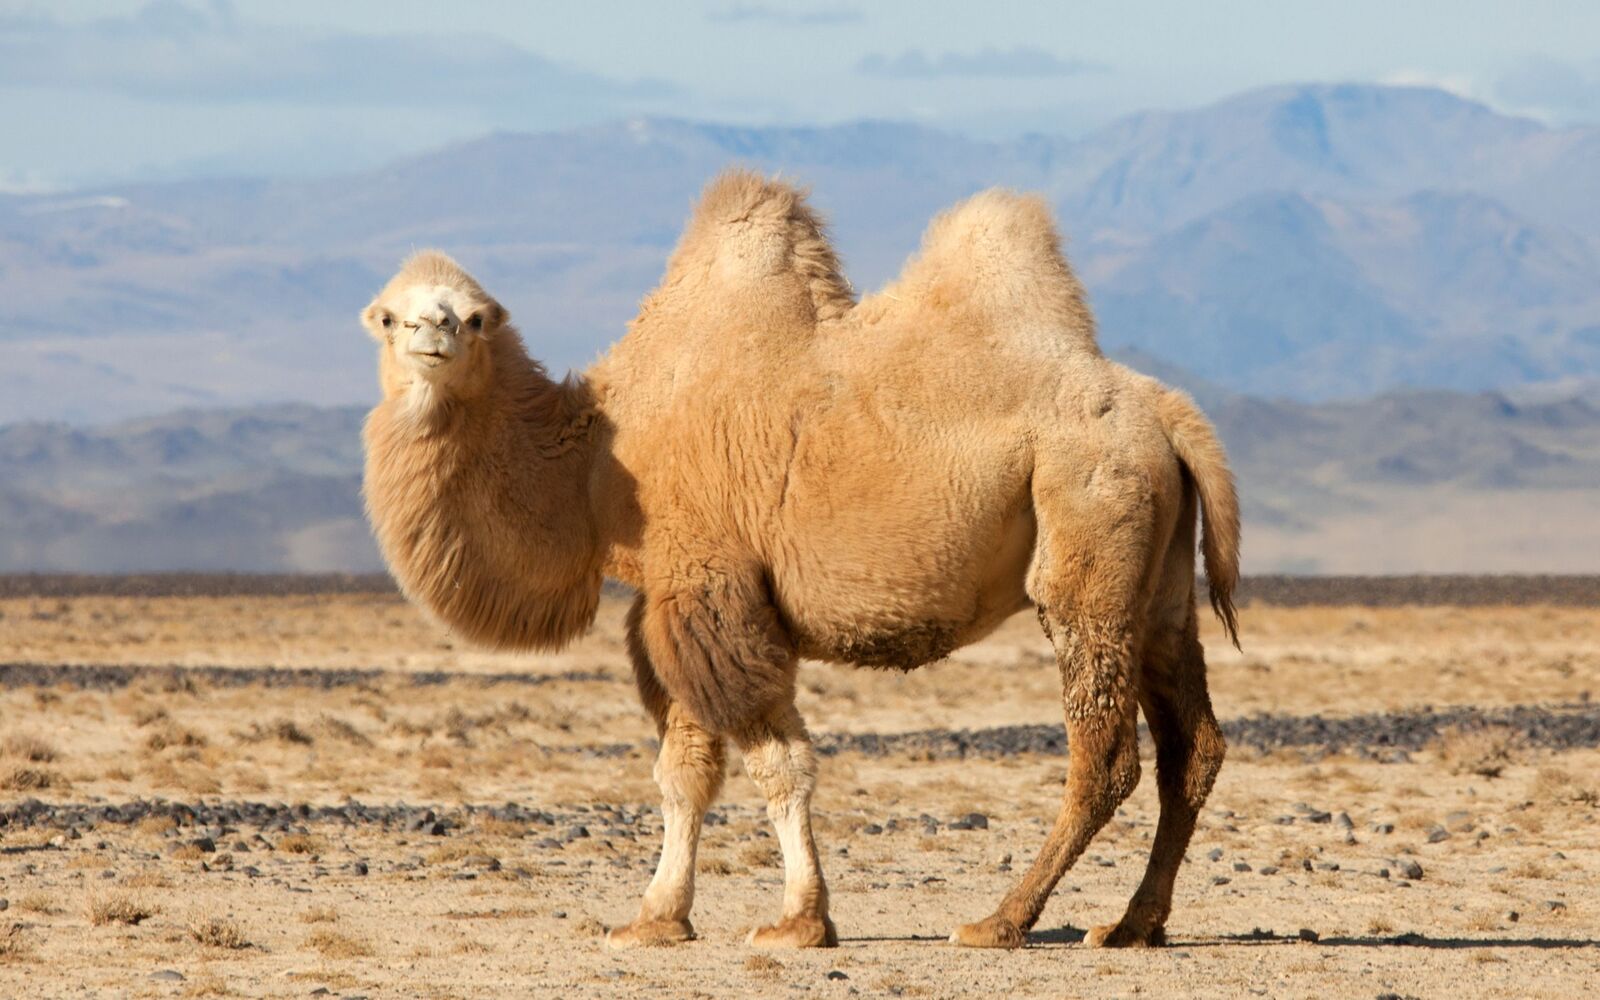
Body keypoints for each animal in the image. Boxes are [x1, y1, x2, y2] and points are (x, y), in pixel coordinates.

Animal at [360, 170, 1240, 952]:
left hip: (1088, 531)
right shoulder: (672, 602)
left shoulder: (711, 587)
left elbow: (775, 763)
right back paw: (1131, 925)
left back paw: (1001, 921)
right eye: (389, 316)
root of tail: (1168, 413)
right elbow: (685, 770)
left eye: (474, 318)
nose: (433, 335)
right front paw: (656, 919)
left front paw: (799, 922)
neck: (598, 462)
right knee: (1192, 746)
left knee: (1106, 755)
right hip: (1158, 582)